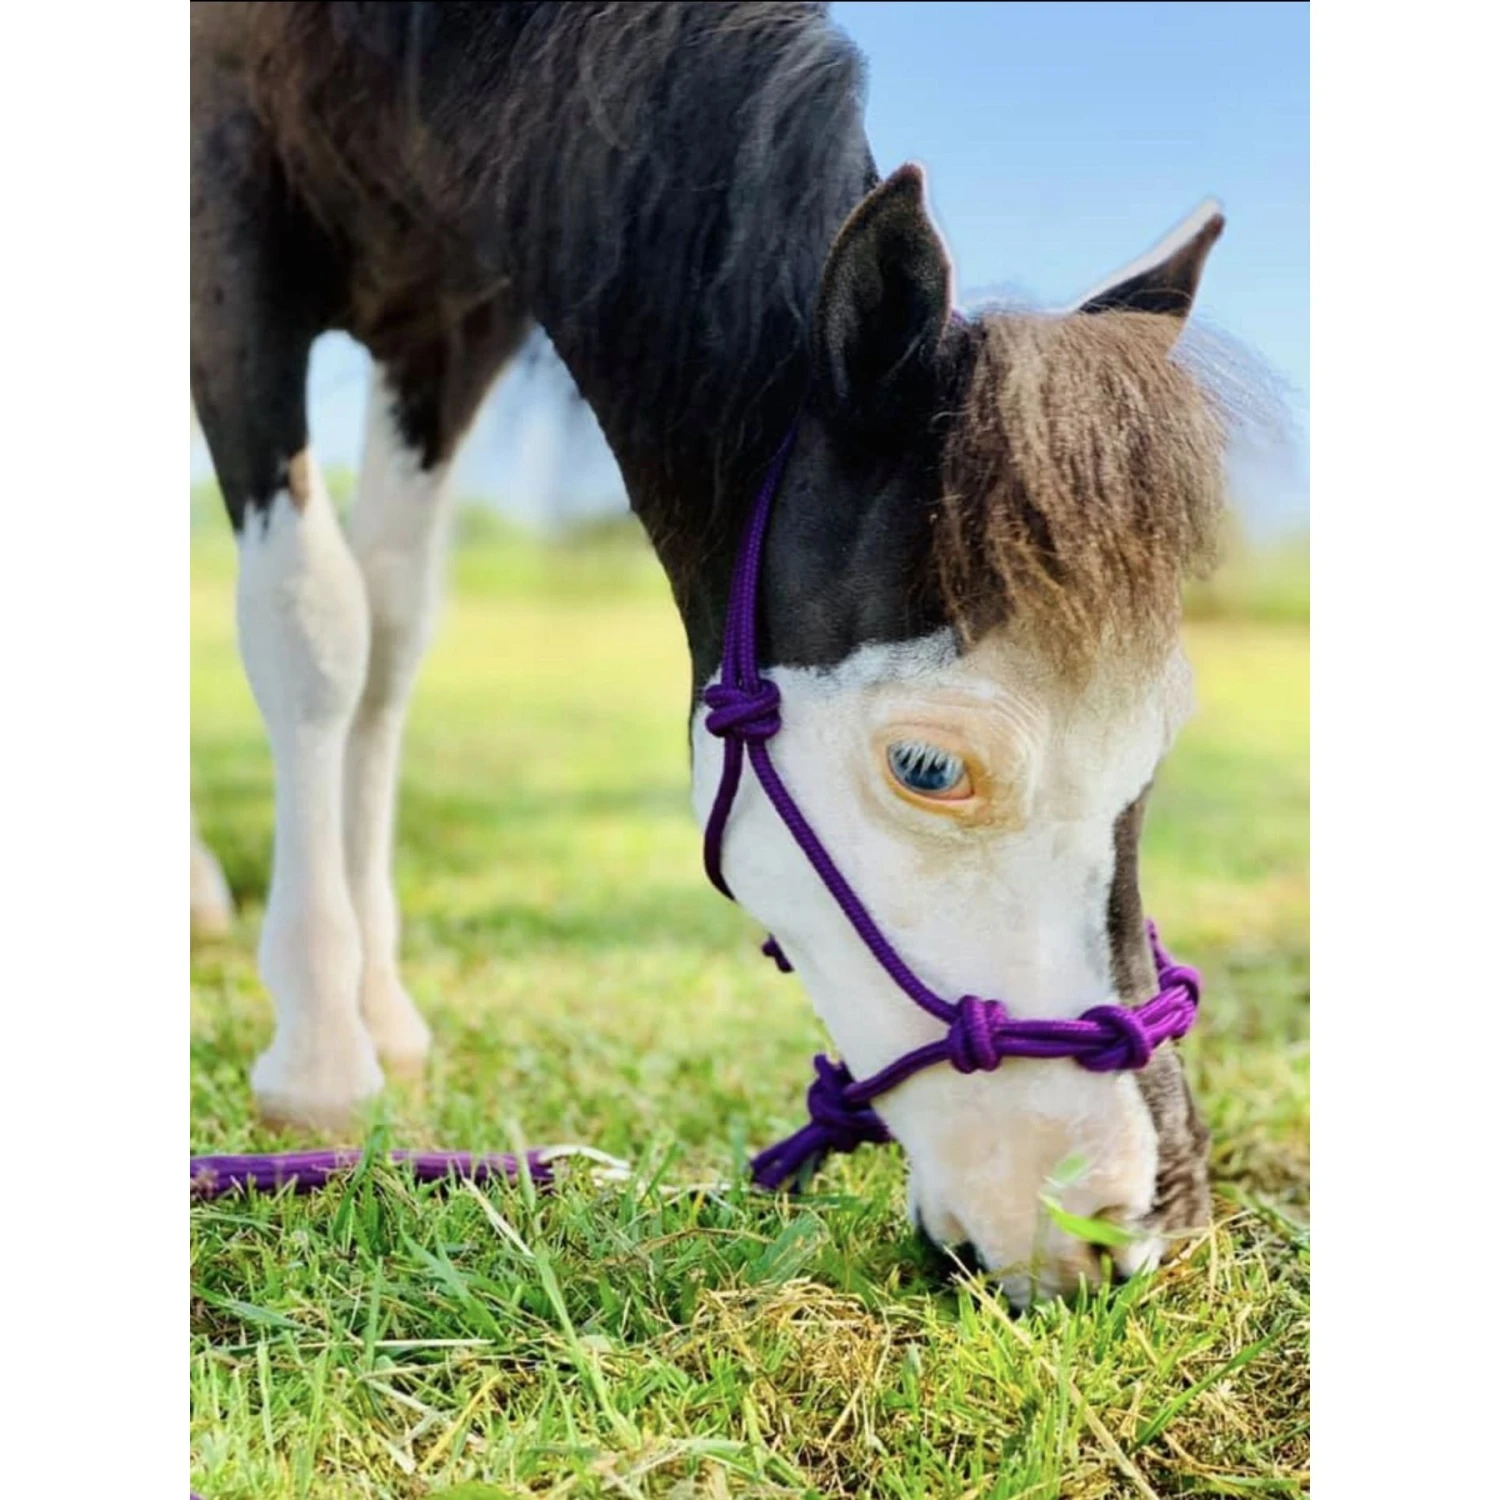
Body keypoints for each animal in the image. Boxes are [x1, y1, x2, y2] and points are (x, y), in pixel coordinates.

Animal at [191, 1, 1231, 1306]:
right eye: (928, 769)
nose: (1130, 1226)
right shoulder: (229, 234)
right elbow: (314, 626)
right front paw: (321, 1050)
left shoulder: (447, 320)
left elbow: (392, 629)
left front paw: (376, 1000)